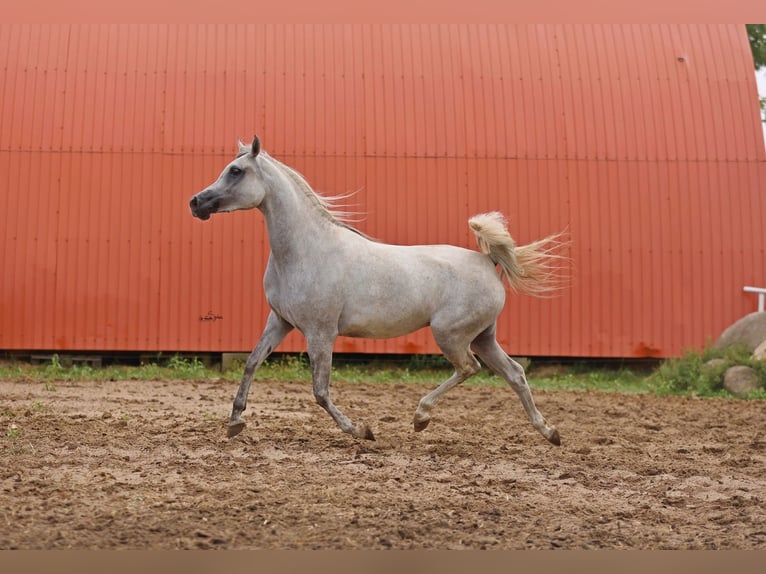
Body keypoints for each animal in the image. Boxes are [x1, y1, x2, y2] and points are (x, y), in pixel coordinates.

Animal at [189, 137, 568, 448]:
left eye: (236, 171)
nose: (196, 202)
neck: (307, 250)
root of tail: (487, 260)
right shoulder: (280, 320)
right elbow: (252, 362)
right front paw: (235, 422)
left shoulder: (320, 332)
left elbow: (320, 391)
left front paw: (362, 431)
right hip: (482, 336)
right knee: (515, 373)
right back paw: (549, 432)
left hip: (452, 335)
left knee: (469, 368)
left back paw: (420, 417)